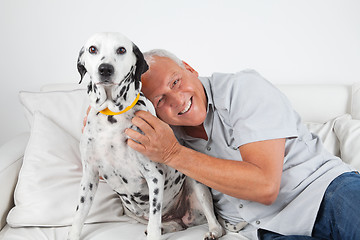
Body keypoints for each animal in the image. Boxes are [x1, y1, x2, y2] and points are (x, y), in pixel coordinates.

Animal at [67, 32, 225, 240]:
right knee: (176, 225)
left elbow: (154, 222)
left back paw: (212, 231)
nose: (105, 69)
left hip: (196, 184)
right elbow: (79, 215)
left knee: (213, 222)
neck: (112, 118)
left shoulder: (154, 177)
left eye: (121, 49)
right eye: (93, 49)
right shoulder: (89, 175)